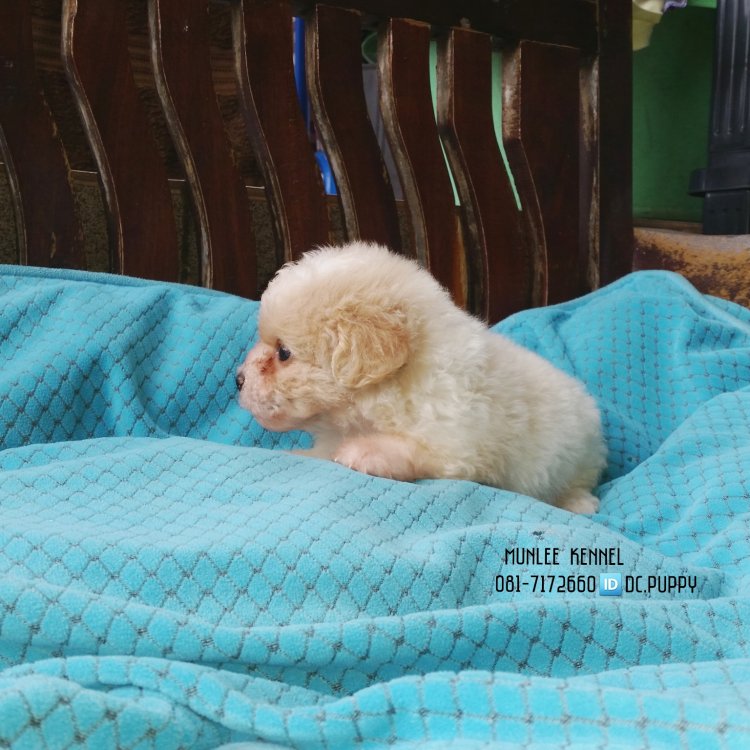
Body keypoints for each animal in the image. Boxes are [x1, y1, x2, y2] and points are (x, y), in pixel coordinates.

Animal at [236, 242, 606, 513]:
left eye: (284, 353)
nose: (237, 379)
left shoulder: (458, 446)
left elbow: (412, 449)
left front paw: (366, 452)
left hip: (576, 459)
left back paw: (579, 503)